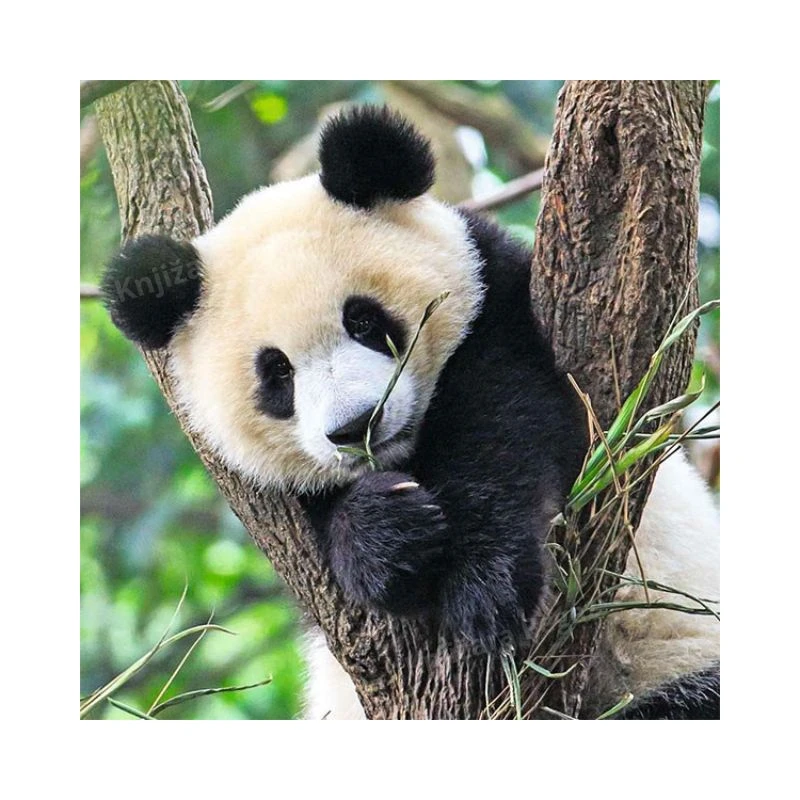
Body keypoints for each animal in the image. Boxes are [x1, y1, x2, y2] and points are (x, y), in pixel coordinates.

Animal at [102, 105, 720, 720]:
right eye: (277, 373)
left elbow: (509, 425)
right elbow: (324, 538)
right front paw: (386, 533)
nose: (357, 426)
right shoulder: (278, 505)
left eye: (364, 321)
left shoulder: (500, 305)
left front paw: (486, 589)